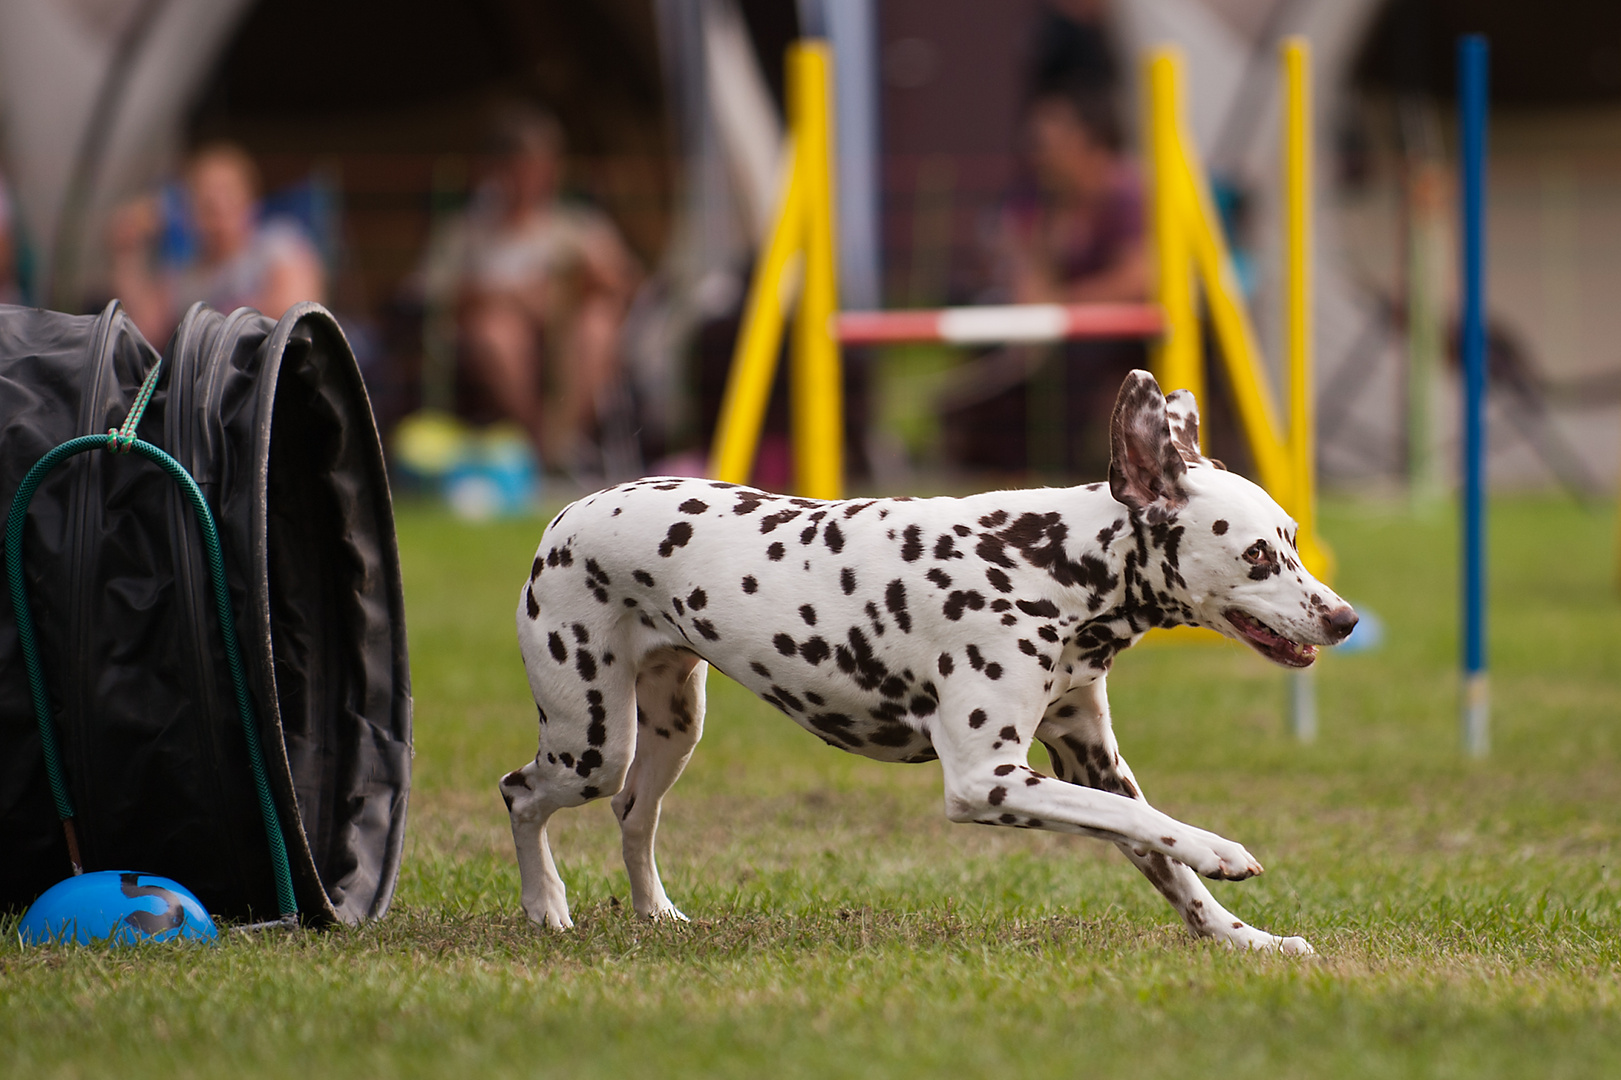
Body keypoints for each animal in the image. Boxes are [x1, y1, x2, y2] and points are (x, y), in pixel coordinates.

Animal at [502, 369, 1355, 953]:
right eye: (1257, 554)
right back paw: (546, 906)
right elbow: (1154, 825)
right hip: (590, 745)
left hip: (670, 733)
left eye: (1291, 537)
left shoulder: (1089, 760)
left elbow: (1159, 851)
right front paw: (1221, 850)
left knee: (632, 814)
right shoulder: (988, 779)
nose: (1344, 619)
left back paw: (655, 913)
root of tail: (571, 511)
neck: (1043, 561)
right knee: (521, 793)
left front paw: (1247, 939)